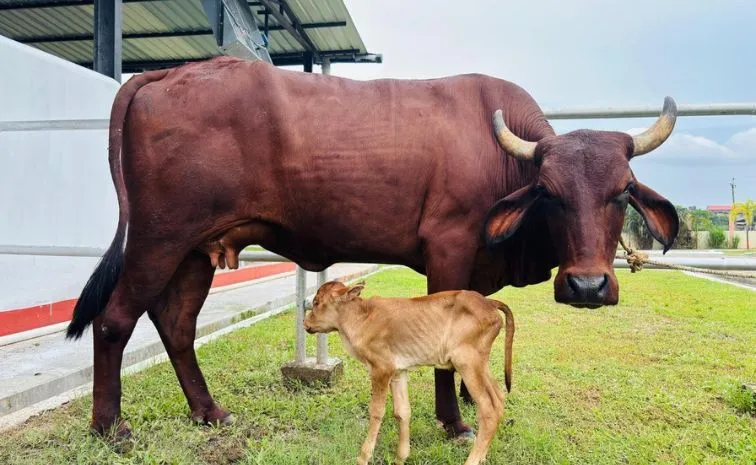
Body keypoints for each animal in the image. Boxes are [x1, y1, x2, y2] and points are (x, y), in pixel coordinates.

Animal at [65, 56, 679, 440]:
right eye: (549, 193)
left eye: (622, 190)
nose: (587, 286)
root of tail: (169, 72)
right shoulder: (448, 249)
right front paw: (454, 422)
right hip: (158, 239)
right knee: (114, 320)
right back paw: (109, 427)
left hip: (196, 249)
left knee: (176, 324)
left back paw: (210, 412)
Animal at [303, 280, 515, 465]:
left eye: (316, 302)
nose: (305, 322)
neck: (361, 318)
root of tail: (489, 302)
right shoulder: (398, 372)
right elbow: (402, 412)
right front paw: (400, 457)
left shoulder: (381, 370)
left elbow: (376, 412)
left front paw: (364, 457)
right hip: (480, 364)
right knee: (498, 399)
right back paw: (482, 456)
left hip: (467, 363)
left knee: (488, 408)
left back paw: (472, 460)